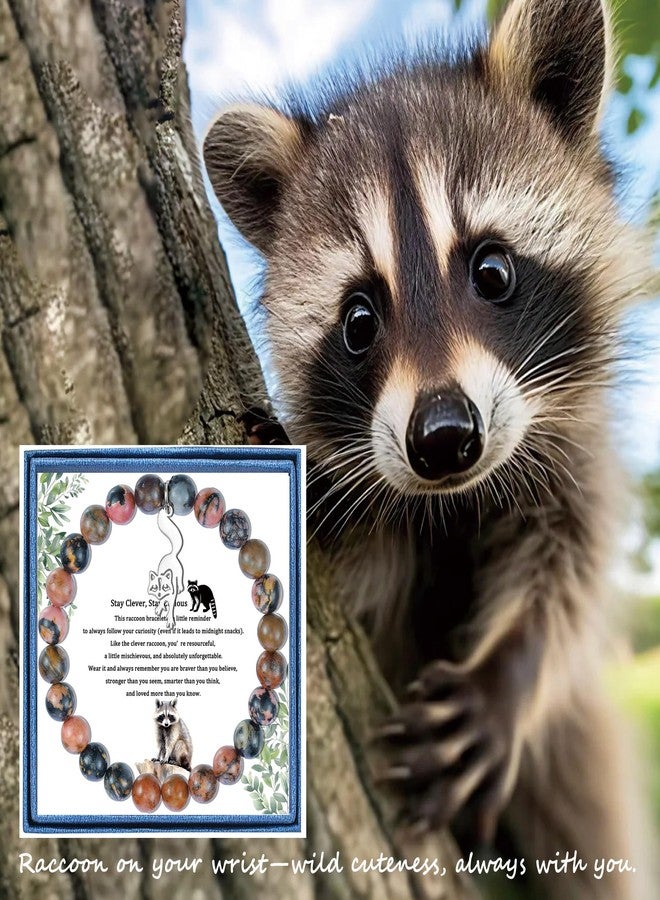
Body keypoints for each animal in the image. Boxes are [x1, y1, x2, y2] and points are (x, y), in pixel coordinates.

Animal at [203, 0, 652, 895]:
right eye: (359, 320)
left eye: (492, 270)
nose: (443, 439)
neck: (456, 498)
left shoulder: (577, 452)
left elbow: (571, 571)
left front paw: (512, 672)